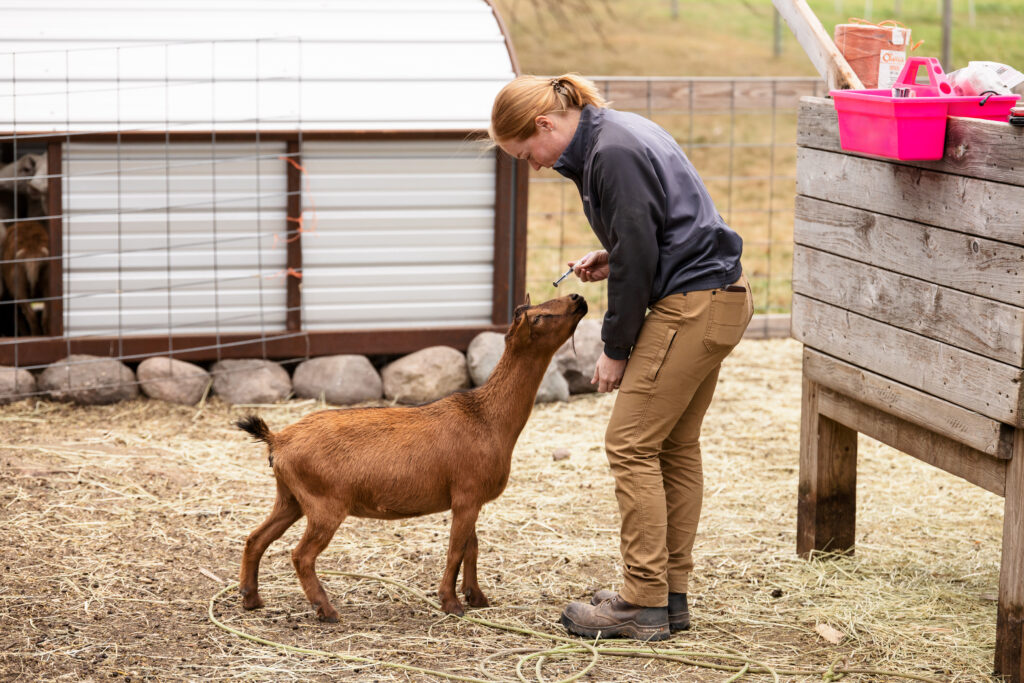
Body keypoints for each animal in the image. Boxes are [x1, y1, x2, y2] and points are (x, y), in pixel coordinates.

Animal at [235, 293, 588, 621]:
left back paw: (251, 598)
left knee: (255, 538)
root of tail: (278, 440)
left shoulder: (470, 498)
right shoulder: (467, 495)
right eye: (540, 316)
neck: (487, 418)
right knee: (301, 555)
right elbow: (455, 551)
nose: (578, 298)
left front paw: (477, 597)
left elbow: (471, 549)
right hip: (324, 503)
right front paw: (451, 603)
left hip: (291, 497)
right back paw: (326, 610)